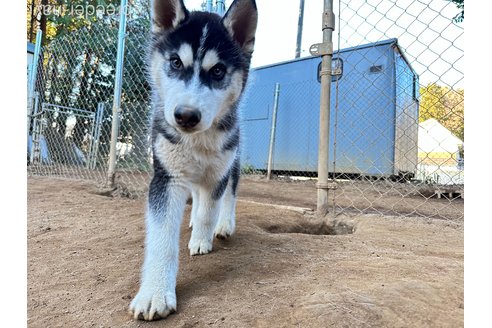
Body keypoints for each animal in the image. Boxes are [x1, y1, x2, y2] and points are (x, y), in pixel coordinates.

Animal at [130, 0, 258, 320]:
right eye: (176, 62)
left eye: (218, 71)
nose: (186, 116)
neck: (198, 140)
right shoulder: (167, 177)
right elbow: (162, 237)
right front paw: (154, 293)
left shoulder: (218, 174)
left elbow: (209, 211)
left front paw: (202, 238)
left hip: (233, 163)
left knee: (228, 197)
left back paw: (222, 226)